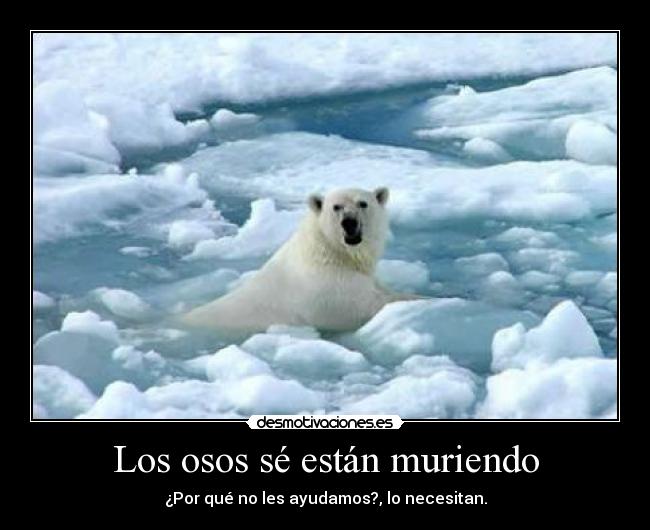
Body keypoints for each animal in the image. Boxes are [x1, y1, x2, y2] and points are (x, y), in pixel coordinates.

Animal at [180, 187, 422, 335]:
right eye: (336, 207)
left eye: (363, 203)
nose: (349, 222)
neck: (330, 253)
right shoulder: (328, 290)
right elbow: (366, 305)